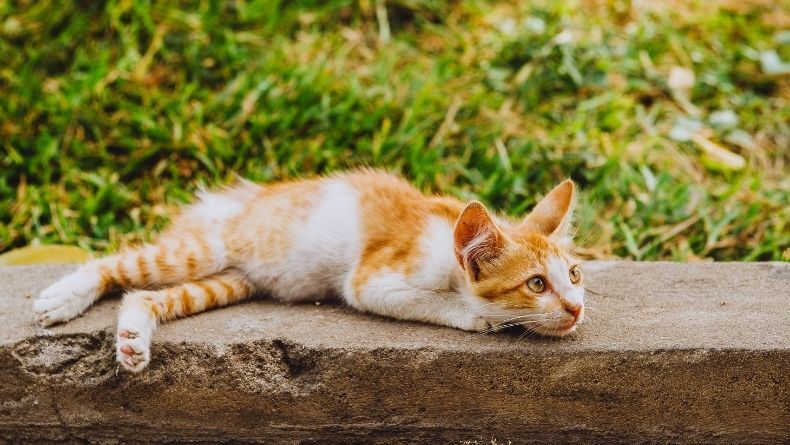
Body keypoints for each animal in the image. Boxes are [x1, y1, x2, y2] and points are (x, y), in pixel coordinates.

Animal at [32, 170, 588, 372]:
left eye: (576, 276)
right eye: (537, 283)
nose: (576, 309)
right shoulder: (369, 280)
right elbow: (432, 303)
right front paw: (482, 317)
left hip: (231, 282)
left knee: (144, 297)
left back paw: (131, 342)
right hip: (204, 249)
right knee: (114, 264)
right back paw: (61, 298)